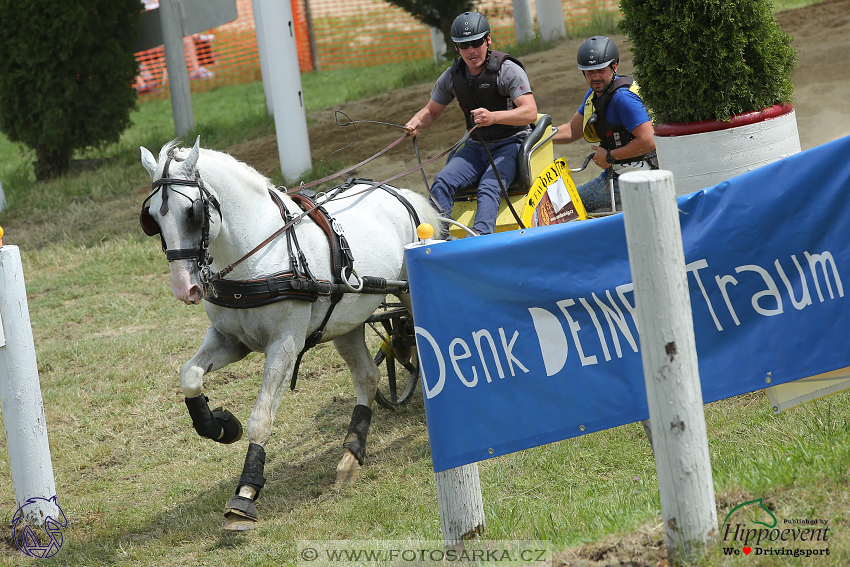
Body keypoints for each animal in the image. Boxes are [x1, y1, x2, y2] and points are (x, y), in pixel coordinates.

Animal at [139, 138, 438, 532]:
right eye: (152, 219)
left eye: (193, 212)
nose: (184, 288)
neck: (258, 254)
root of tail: (398, 193)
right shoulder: (229, 340)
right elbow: (189, 376)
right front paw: (221, 426)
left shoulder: (284, 344)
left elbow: (261, 419)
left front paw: (245, 493)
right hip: (347, 322)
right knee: (368, 377)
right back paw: (351, 455)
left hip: (407, 294)